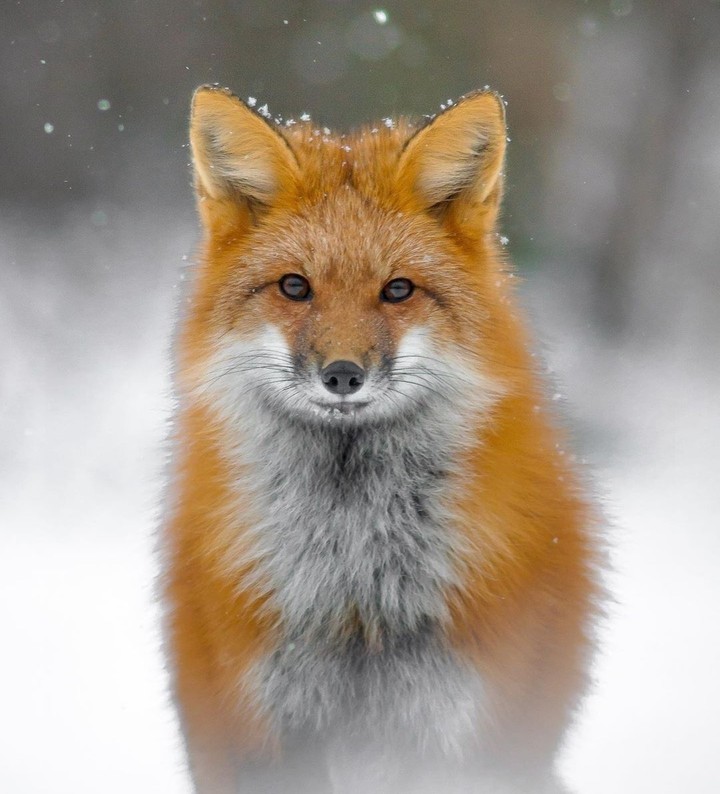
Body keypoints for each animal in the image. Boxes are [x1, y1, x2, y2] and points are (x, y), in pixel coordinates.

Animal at [160, 84, 602, 794]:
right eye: (294, 286)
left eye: (398, 289)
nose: (343, 375)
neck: (354, 589)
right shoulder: (256, 731)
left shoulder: (464, 732)